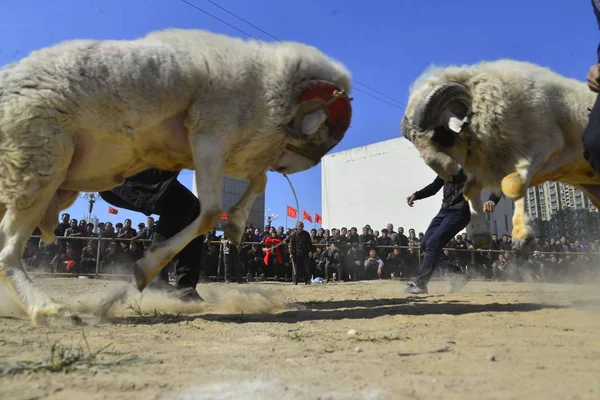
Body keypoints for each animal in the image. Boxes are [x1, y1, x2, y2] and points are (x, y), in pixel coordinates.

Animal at [0, 28, 354, 324]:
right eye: (325, 128)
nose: (305, 164)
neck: (268, 84)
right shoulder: (210, 136)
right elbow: (210, 213)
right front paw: (144, 270)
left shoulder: (229, 149)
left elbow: (257, 182)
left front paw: (236, 224)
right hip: (38, 162)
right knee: (7, 250)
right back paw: (49, 309)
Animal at [398, 59, 600, 248]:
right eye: (417, 147)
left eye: (441, 135)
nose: (452, 177)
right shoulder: (488, 167)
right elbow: (470, 190)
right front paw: (481, 236)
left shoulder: (544, 147)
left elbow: (512, 184)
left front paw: (521, 235)